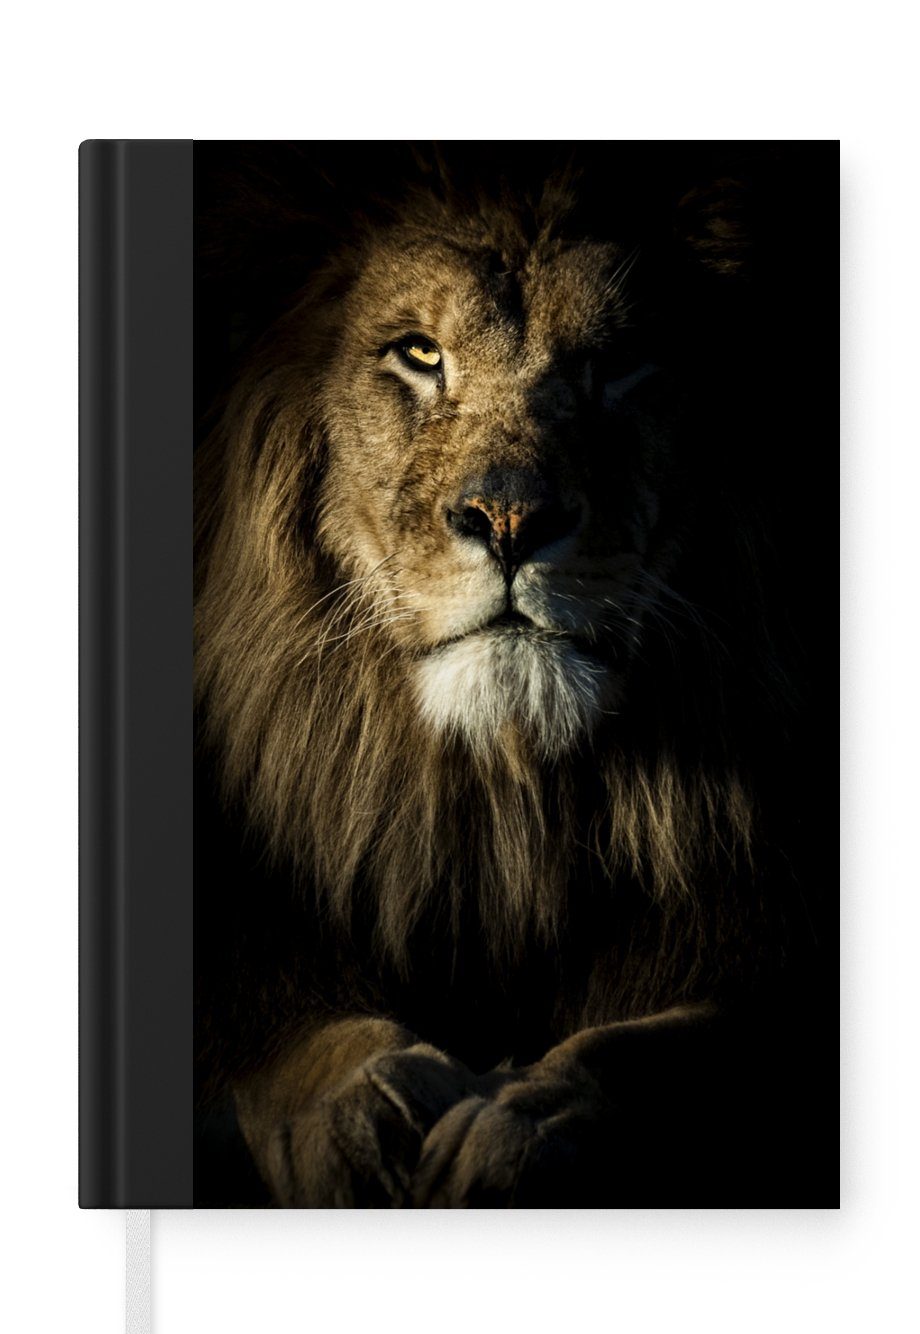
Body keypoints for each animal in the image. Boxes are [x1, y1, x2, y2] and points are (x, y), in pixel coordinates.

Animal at [194, 145, 837, 1207]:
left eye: (616, 364)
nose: (509, 520)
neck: (501, 806)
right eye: (419, 354)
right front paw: (367, 1112)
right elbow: (273, 1017)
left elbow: (663, 1050)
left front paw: (526, 1131)